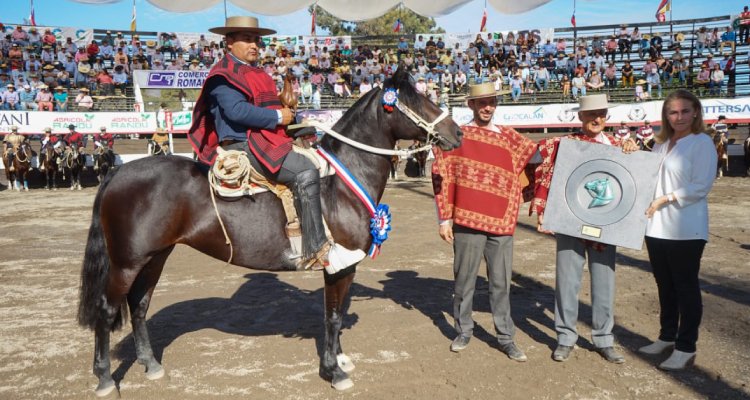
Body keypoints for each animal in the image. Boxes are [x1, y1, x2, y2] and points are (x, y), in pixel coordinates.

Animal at [78, 68, 464, 396]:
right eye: (417, 101)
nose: (457, 132)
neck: (340, 183)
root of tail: (118, 173)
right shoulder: (338, 265)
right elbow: (332, 316)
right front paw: (333, 371)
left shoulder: (345, 265)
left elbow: (336, 314)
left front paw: (339, 359)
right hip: (126, 262)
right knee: (107, 310)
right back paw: (105, 379)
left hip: (156, 256)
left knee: (139, 305)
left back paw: (151, 364)